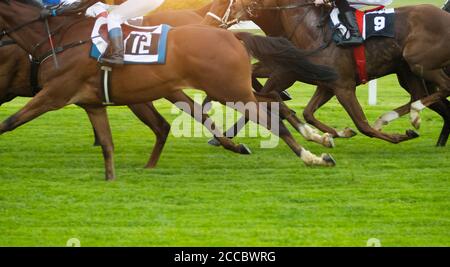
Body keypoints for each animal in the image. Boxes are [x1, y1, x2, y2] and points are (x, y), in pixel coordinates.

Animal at [0, 0, 338, 181]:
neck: (58, 39)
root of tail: (232, 36)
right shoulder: (93, 101)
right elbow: (109, 142)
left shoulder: (54, 94)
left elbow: (8, 122)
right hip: (230, 88)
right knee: (273, 102)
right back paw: (315, 139)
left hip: (228, 90)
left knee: (269, 116)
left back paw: (312, 156)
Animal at [205, 0, 450, 147]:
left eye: (226, 2)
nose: (208, 22)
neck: (314, 32)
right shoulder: (324, 83)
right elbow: (306, 112)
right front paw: (335, 134)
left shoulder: (340, 85)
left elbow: (362, 124)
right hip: (410, 71)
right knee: (424, 96)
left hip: (419, 63)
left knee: (441, 90)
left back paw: (410, 117)